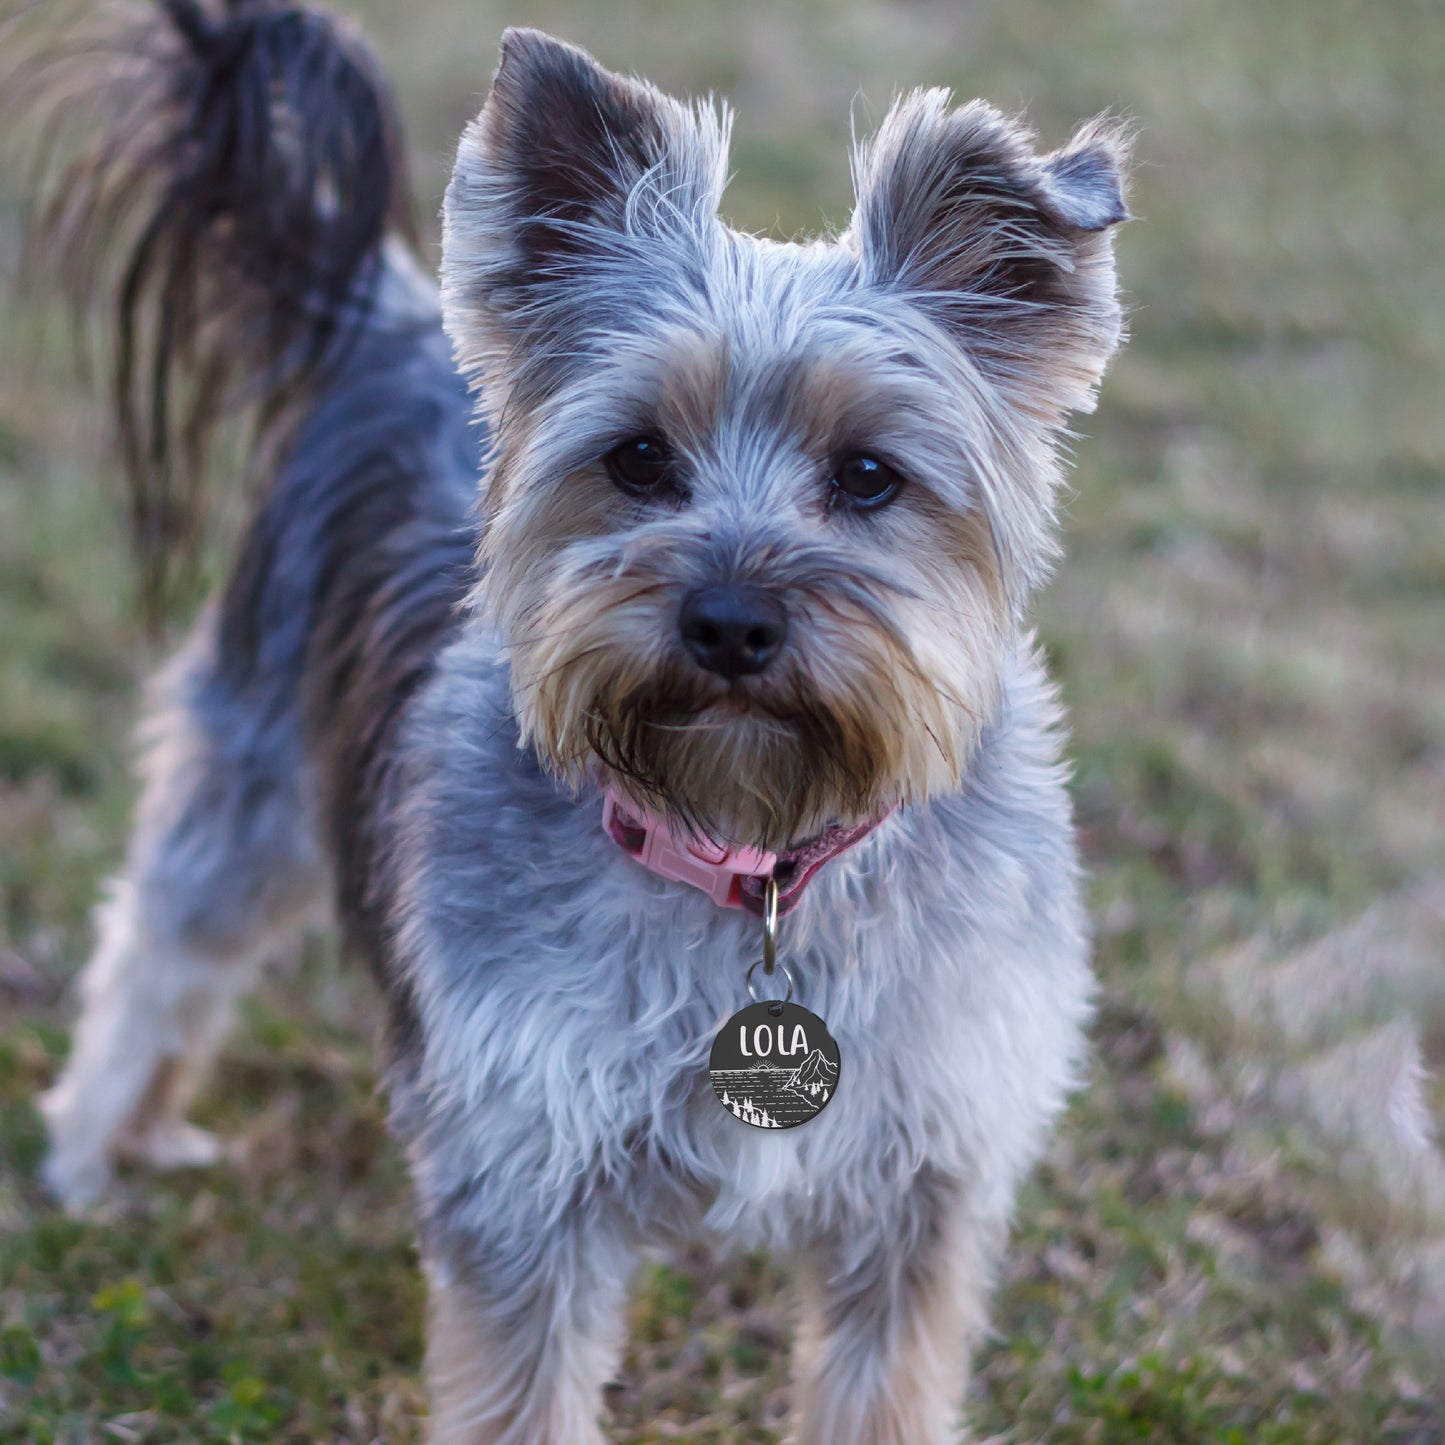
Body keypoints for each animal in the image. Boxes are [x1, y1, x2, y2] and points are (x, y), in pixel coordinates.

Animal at [25, 0, 1127, 1439]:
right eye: (638, 456)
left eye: (870, 474)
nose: (729, 622)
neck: (744, 851)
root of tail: (383, 316)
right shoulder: (523, 1166)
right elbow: (523, 1391)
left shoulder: (923, 1179)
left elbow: (877, 1387)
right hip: (251, 757)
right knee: (162, 951)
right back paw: (94, 1155)